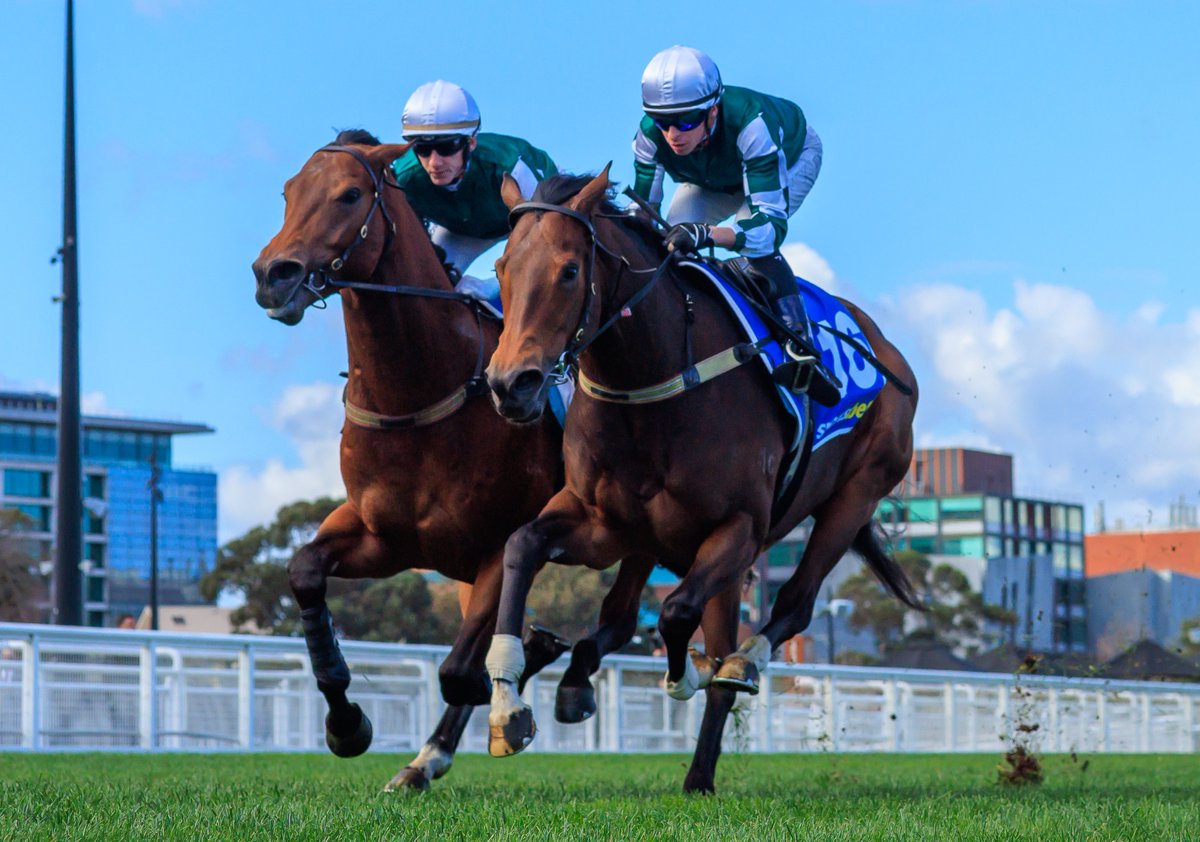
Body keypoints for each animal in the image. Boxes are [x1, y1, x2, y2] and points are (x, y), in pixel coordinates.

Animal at [251, 133, 653, 791]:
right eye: (287, 192)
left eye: (350, 194)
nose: (272, 275)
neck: (419, 395)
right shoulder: (383, 537)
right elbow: (306, 573)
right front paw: (347, 725)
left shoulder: (495, 544)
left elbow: (460, 671)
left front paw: (519, 680)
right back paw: (426, 757)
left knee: (619, 616)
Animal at [483, 168, 922, 793]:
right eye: (502, 267)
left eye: (568, 271)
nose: (509, 385)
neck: (655, 379)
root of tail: (886, 350)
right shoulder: (601, 523)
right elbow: (522, 546)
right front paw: (508, 708)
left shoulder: (739, 529)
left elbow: (676, 615)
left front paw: (684, 678)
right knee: (625, 616)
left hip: (853, 497)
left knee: (790, 606)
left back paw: (722, 711)